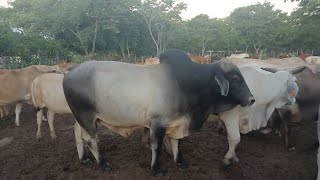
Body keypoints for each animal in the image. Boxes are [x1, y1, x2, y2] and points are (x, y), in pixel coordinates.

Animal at [61, 48, 254, 176]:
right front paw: (156, 169)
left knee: (77, 133)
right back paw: (103, 163)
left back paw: (84, 158)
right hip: (86, 117)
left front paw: (179, 161)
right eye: (235, 78)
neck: (186, 84)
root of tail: (71, 70)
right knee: (91, 140)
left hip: (82, 118)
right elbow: (157, 146)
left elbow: (177, 143)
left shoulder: (178, 123)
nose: (252, 99)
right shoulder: (157, 124)